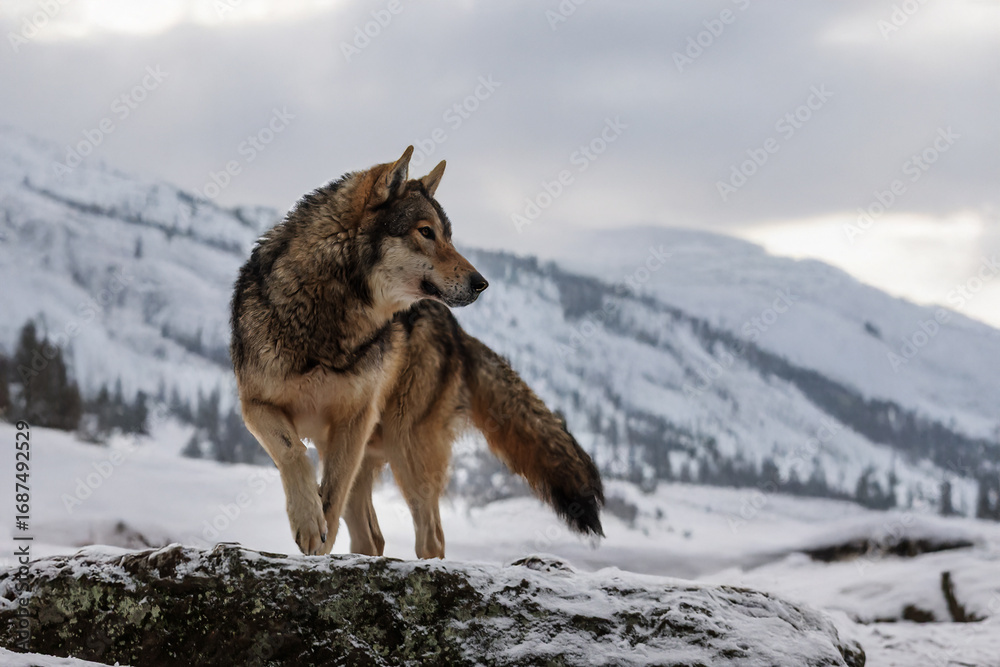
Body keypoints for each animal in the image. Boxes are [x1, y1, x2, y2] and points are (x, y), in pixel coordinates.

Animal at [230, 147, 604, 558]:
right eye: (426, 232)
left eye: (449, 236)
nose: (481, 283)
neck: (328, 319)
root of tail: (455, 330)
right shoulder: (257, 405)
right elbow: (294, 453)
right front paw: (309, 521)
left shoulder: (353, 421)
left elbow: (330, 498)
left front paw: (316, 534)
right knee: (371, 538)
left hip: (406, 447)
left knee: (430, 537)